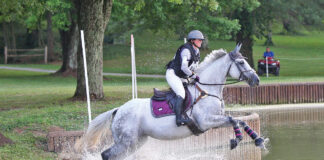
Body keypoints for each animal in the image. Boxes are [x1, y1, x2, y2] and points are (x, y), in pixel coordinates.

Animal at [77, 44, 264, 160]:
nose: (257, 80)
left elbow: (239, 121)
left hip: (136, 142)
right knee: (106, 155)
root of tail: (118, 110)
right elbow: (234, 120)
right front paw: (236, 141)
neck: (207, 90)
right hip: (126, 141)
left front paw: (258, 140)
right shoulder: (206, 121)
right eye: (241, 62)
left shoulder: (216, 122)